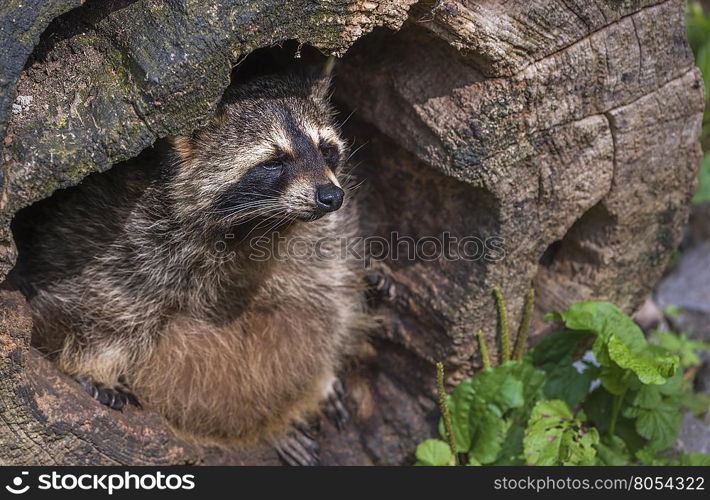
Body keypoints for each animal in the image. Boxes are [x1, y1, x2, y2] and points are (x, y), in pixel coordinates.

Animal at [8, 74, 376, 464]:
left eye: (325, 149)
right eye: (273, 161)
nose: (331, 197)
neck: (261, 225)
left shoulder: (322, 247)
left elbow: (328, 312)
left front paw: (314, 387)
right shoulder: (129, 245)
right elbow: (90, 310)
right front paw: (91, 365)